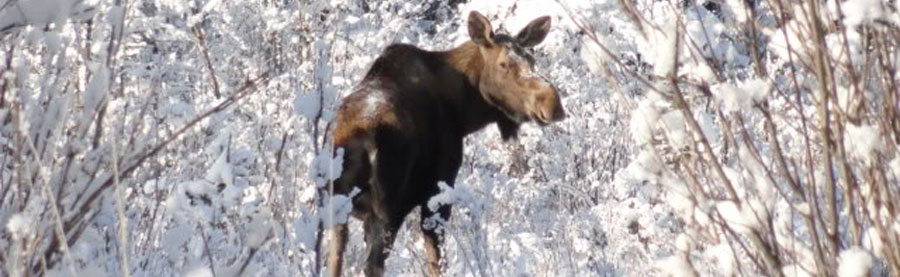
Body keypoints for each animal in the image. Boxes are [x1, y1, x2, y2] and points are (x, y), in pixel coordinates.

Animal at [326, 11, 568, 276]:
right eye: (504, 64)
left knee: (335, 258)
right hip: (388, 208)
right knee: (373, 264)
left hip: (337, 206)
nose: (552, 103)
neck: (464, 111)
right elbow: (437, 260)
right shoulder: (438, 190)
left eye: (532, 61)